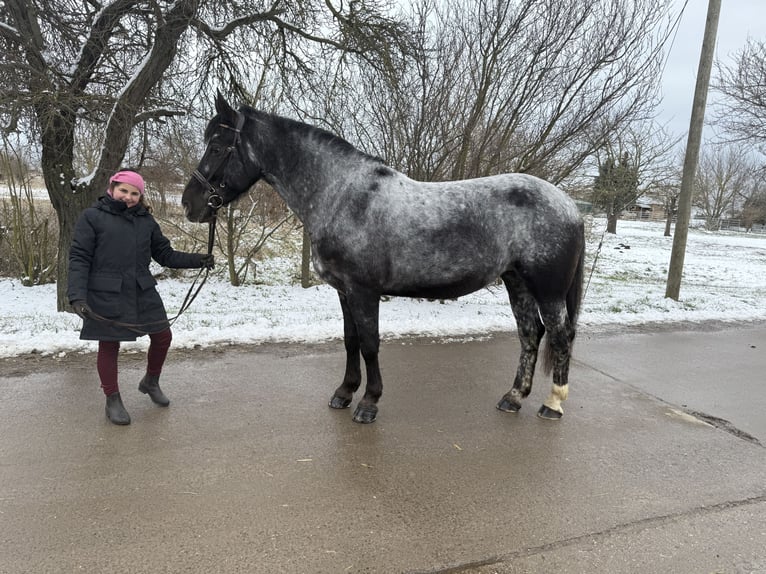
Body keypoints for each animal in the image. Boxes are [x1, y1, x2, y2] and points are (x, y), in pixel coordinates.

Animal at [183, 94, 584, 426]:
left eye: (217, 146)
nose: (191, 204)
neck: (343, 196)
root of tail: (569, 206)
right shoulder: (343, 291)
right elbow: (350, 340)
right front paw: (344, 393)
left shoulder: (364, 291)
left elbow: (370, 343)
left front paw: (368, 403)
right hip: (517, 282)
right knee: (530, 334)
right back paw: (513, 398)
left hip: (547, 291)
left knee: (559, 336)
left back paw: (552, 404)